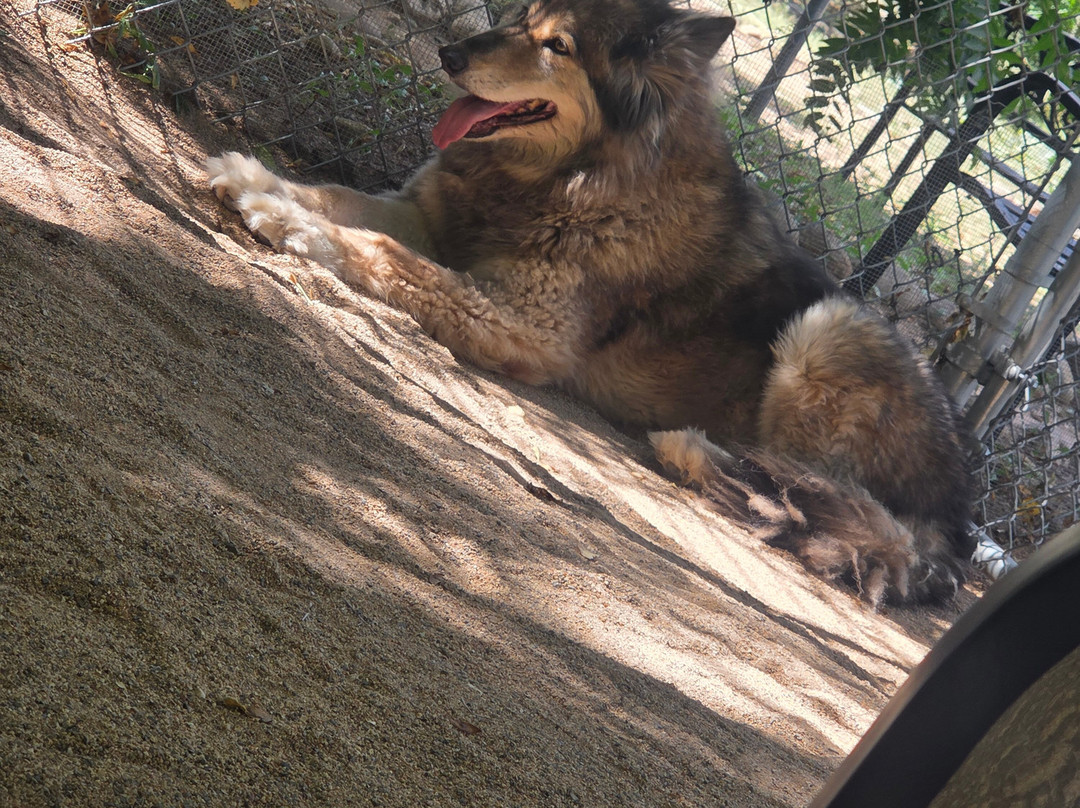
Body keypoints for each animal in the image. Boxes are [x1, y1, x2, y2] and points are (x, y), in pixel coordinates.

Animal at [206, 0, 975, 605]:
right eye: (522, 16)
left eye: (560, 46)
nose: (450, 53)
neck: (570, 177)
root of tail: (958, 520)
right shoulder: (425, 216)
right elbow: (343, 202)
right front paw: (260, 179)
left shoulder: (527, 326)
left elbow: (384, 254)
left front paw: (286, 219)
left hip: (833, 325)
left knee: (828, 504)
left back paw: (693, 452)